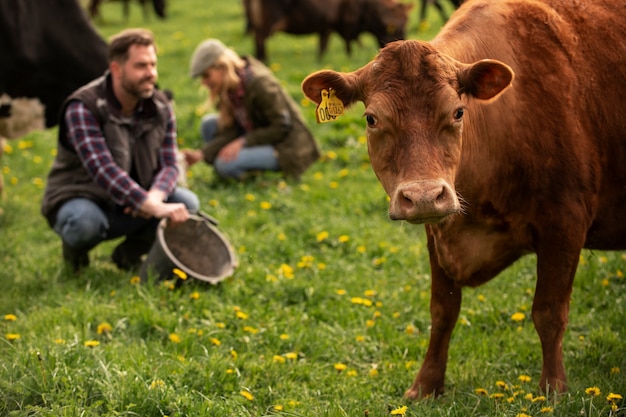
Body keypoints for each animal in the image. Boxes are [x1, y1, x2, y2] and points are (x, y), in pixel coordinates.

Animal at [243, 0, 410, 61]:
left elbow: (323, 45)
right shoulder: (343, 23)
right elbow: (346, 45)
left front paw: (319, 61)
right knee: (260, 40)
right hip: (267, 22)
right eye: (397, 27)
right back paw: (264, 60)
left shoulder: (327, 27)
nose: (403, 42)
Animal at [302, 0, 624, 400]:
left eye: (458, 112)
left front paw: (553, 390)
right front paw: (425, 385)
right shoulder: (438, 231)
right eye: (372, 118)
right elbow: (442, 312)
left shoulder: (565, 223)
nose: (424, 195)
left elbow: (549, 313)